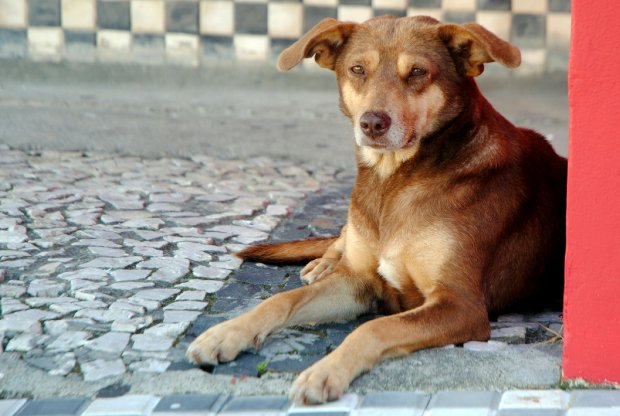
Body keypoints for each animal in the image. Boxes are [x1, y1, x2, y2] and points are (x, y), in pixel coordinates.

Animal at [185, 15, 568, 404]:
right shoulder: (358, 280)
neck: (392, 180)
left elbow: (375, 329)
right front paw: (226, 333)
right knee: (340, 238)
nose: (371, 123)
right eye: (357, 69)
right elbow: (281, 300)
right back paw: (323, 262)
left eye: (417, 72)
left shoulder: (461, 304)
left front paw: (325, 371)